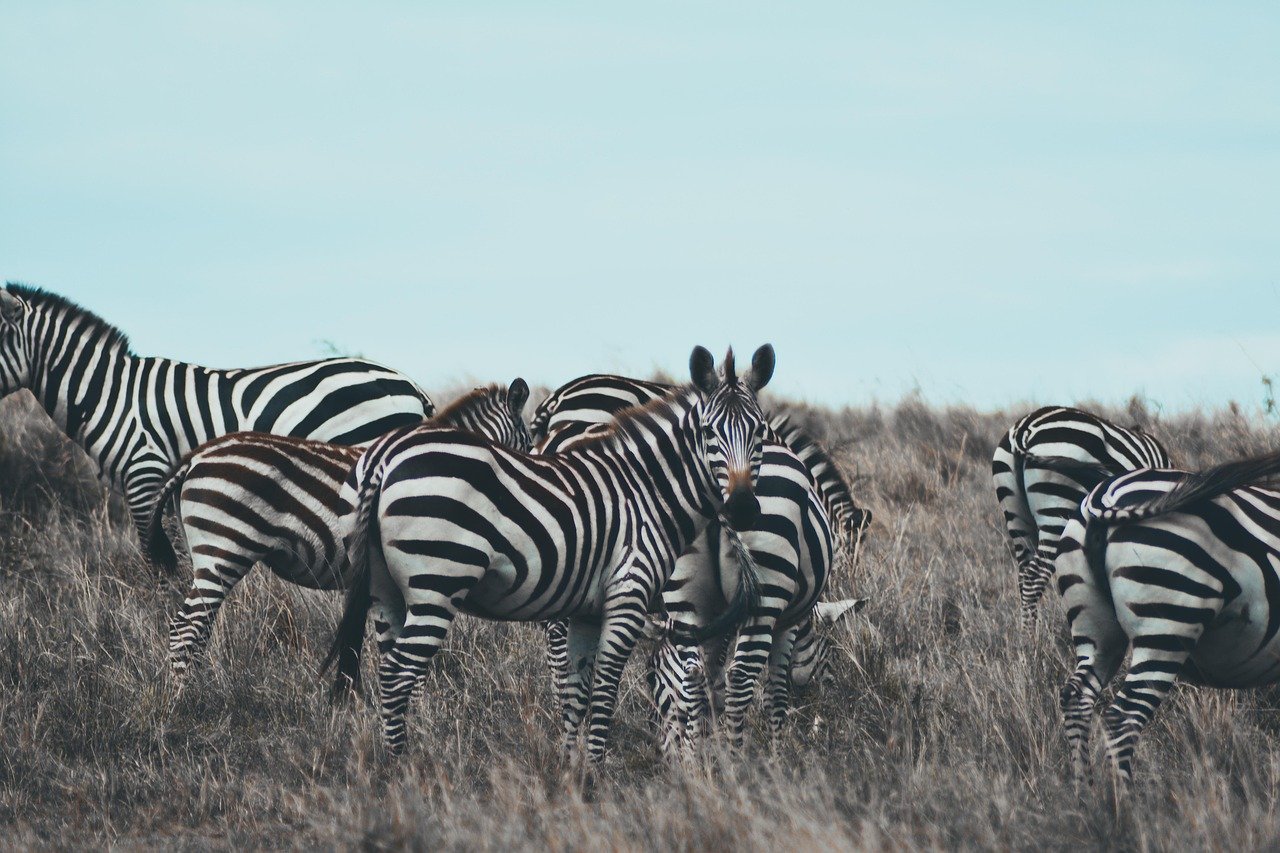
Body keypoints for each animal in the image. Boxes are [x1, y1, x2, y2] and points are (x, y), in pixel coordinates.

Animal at [144, 380, 530, 677]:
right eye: (528, 445)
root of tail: (196, 456)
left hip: (209, 556)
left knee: (193, 628)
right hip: (222, 552)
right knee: (185, 629)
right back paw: (186, 698)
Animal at [323, 345, 779, 761]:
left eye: (760, 431)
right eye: (709, 432)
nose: (742, 507)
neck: (647, 491)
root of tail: (385, 457)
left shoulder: (586, 610)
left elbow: (577, 691)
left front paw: (570, 769)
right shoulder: (627, 595)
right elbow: (605, 689)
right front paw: (595, 771)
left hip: (385, 590)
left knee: (388, 668)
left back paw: (393, 761)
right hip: (437, 582)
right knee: (398, 673)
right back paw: (402, 766)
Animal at [991, 405, 1170, 628]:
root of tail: (1024, 428)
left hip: (1016, 516)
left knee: (1024, 574)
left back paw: (1026, 633)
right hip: (1057, 512)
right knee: (1035, 576)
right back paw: (1033, 636)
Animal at [1053, 449, 1280, 786]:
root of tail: (1105, 496)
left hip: (1095, 627)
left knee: (1077, 698)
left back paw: (1085, 793)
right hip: (1167, 622)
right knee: (1122, 718)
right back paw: (1124, 799)